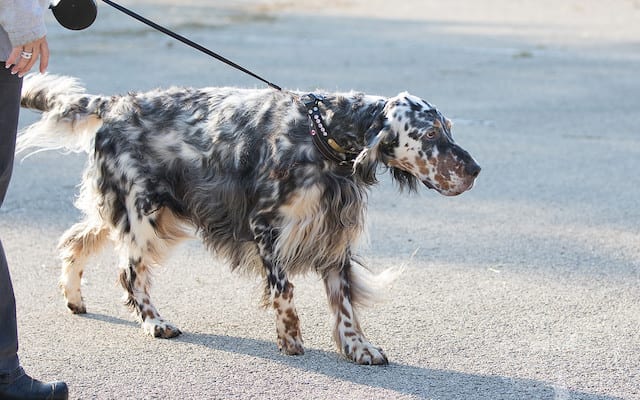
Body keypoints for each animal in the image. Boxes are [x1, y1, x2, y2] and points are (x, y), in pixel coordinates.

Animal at [17, 73, 480, 364]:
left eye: (448, 128)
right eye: (430, 135)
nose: (475, 170)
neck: (321, 133)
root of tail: (113, 104)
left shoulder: (333, 235)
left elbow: (345, 304)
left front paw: (358, 348)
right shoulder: (266, 227)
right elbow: (285, 290)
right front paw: (290, 339)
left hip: (135, 212)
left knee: (76, 240)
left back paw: (74, 298)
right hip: (142, 213)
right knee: (129, 273)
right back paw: (155, 322)